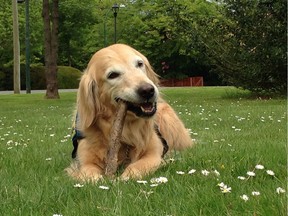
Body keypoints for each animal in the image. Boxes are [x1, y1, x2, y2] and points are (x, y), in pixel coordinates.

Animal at [66, 44, 192, 182]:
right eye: (113, 75)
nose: (148, 90)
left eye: (140, 64)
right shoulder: (85, 161)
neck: (127, 130)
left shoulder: (153, 154)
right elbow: (89, 172)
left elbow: (137, 165)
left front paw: (124, 178)